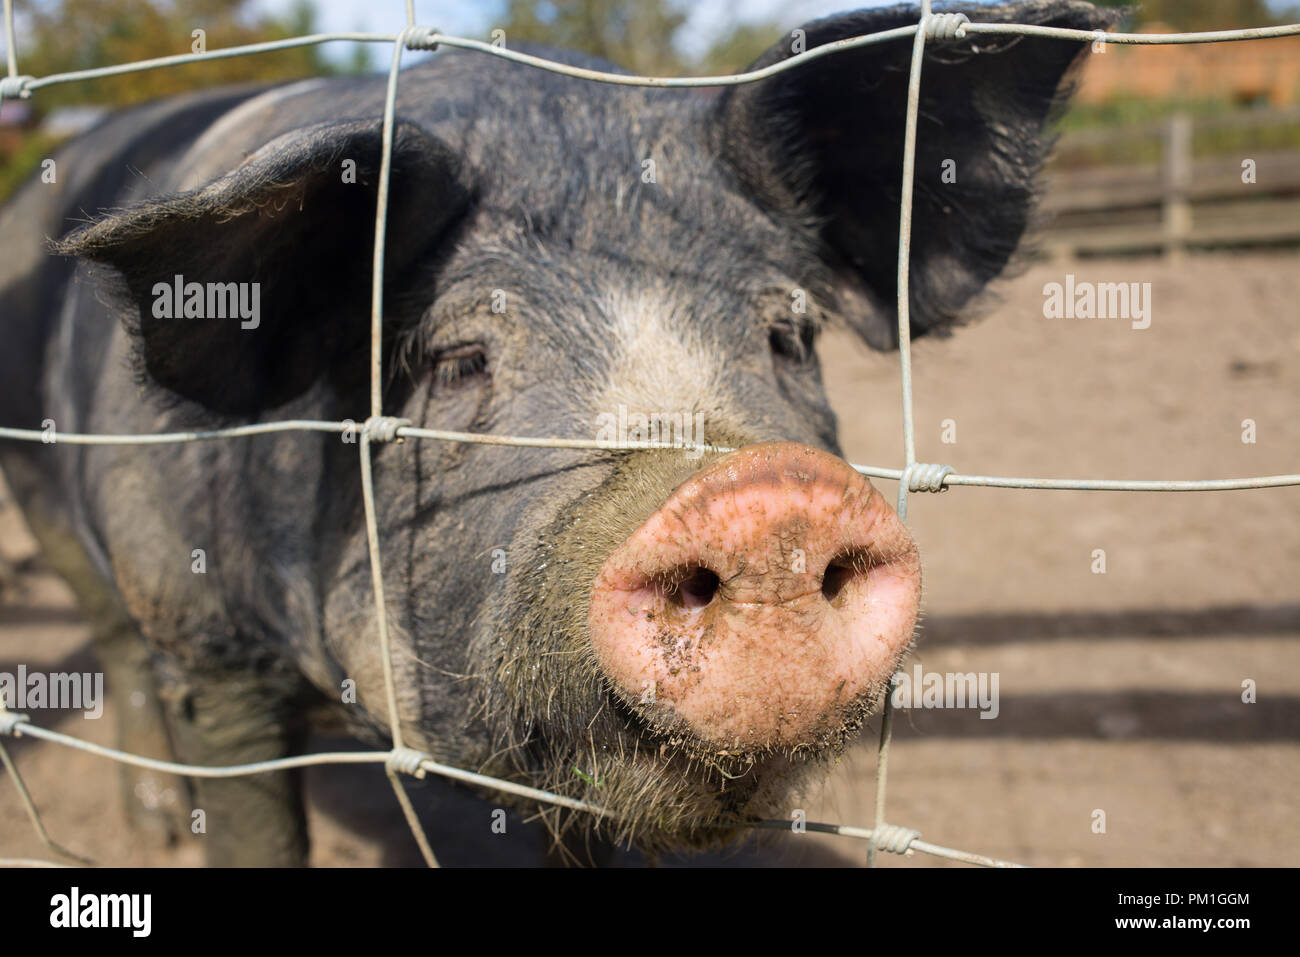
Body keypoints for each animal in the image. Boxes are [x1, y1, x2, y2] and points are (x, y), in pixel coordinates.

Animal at [0, 1, 1118, 868]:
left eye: (788, 335)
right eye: (455, 360)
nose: (767, 499)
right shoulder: (211, 648)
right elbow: (254, 826)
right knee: (112, 638)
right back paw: (153, 825)